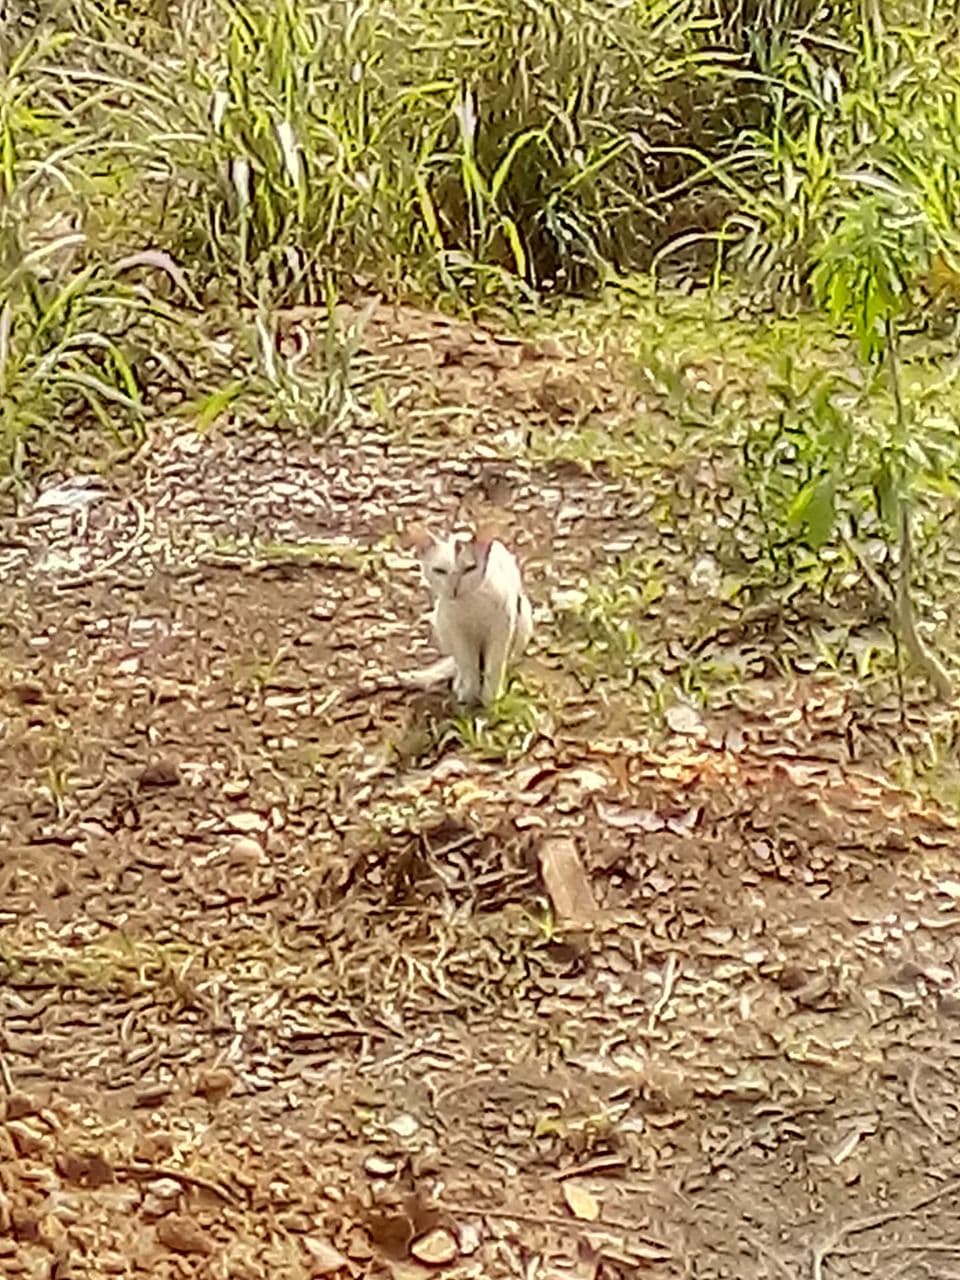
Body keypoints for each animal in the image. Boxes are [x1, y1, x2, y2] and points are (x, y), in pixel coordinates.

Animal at [399, 524, 535, 706]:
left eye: (469, 569)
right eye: (439, 571)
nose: (454, 588)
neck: (469, 604)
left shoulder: (502, 628)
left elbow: (495, 664)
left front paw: (490, 699)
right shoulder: (458, 632)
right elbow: (467, 664)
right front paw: (469, 694)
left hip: (523, 617)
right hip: (440, 621)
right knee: (458, 663)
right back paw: (460, 683)